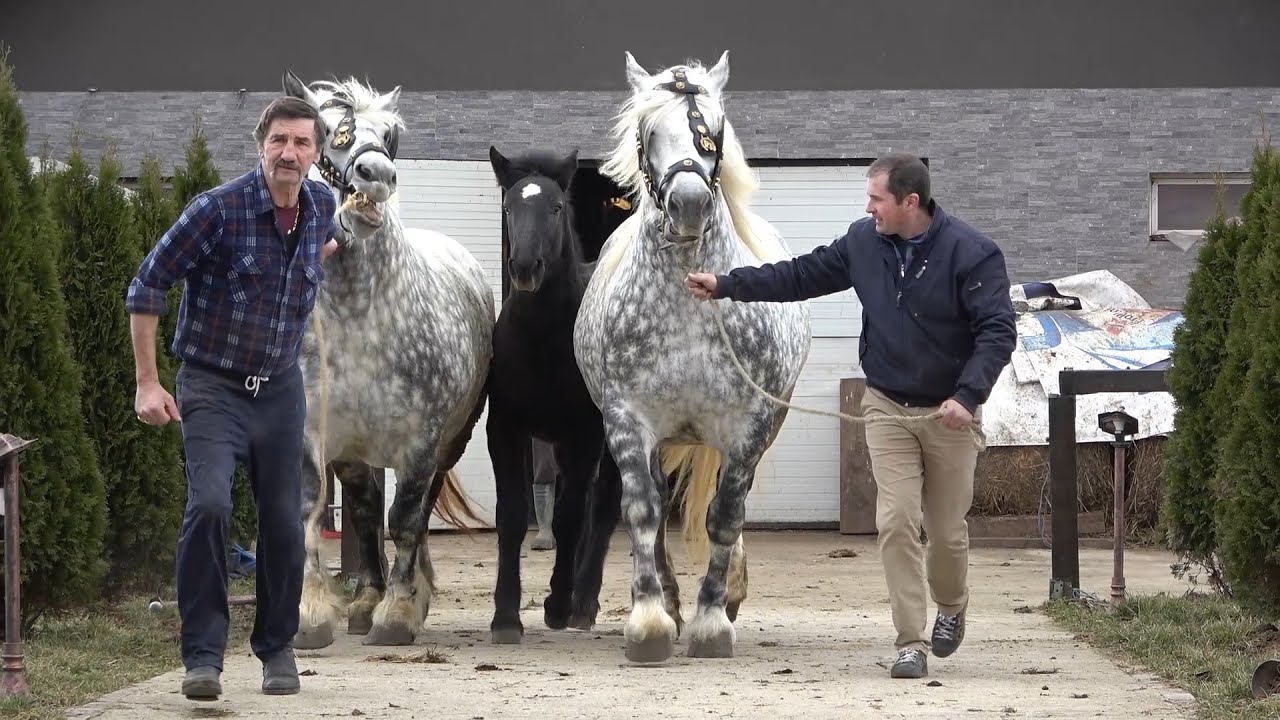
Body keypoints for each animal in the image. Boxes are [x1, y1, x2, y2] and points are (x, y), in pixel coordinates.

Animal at [280, 70, 495, 648]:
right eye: (327, 132)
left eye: (389, 136)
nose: (376, 176)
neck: (361, 312)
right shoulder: (314, 432)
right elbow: (314, 510)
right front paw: (311, 614)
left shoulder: (421, 440)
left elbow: (405, 519)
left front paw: (399, 613)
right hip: (356, 452)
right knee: (360, 509)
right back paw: (364, 600)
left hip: (446, 444)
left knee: (411, 514)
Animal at [484, 146, 625, 644]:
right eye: (508, 207)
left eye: (557, 207)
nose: (526, 269)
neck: (543, 339)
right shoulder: (504, 430)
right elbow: (511, 516)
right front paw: (506, 617)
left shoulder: (585, 436)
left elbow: (569, 518)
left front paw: (559, 605)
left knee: (602, 508)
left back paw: (583, 602)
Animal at [572, 51, 812, 663]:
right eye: (648, 132)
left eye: (714, 131)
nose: (689, 204)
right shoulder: (629, 421)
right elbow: (643, 512)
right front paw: (651, 621)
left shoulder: (749, 427)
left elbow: (724, 516)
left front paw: (712, 621)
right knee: (658, 510)